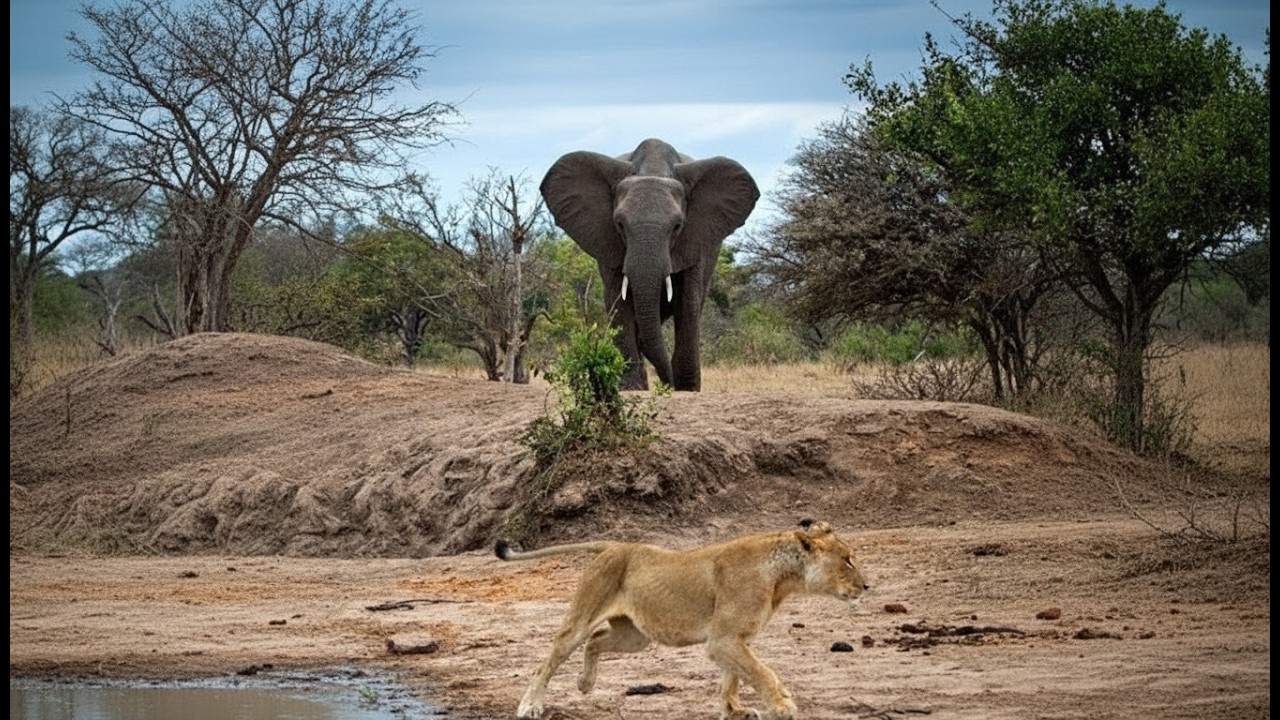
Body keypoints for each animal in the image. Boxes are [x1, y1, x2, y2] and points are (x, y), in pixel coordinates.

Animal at [540, 138, 759, 391]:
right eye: (619, 224)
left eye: (677, 226)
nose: (668, 385)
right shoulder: (608, 242)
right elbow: (618, 301)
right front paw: (632, 387)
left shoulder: (696, 240)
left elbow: (688, 303)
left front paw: (686, 389)